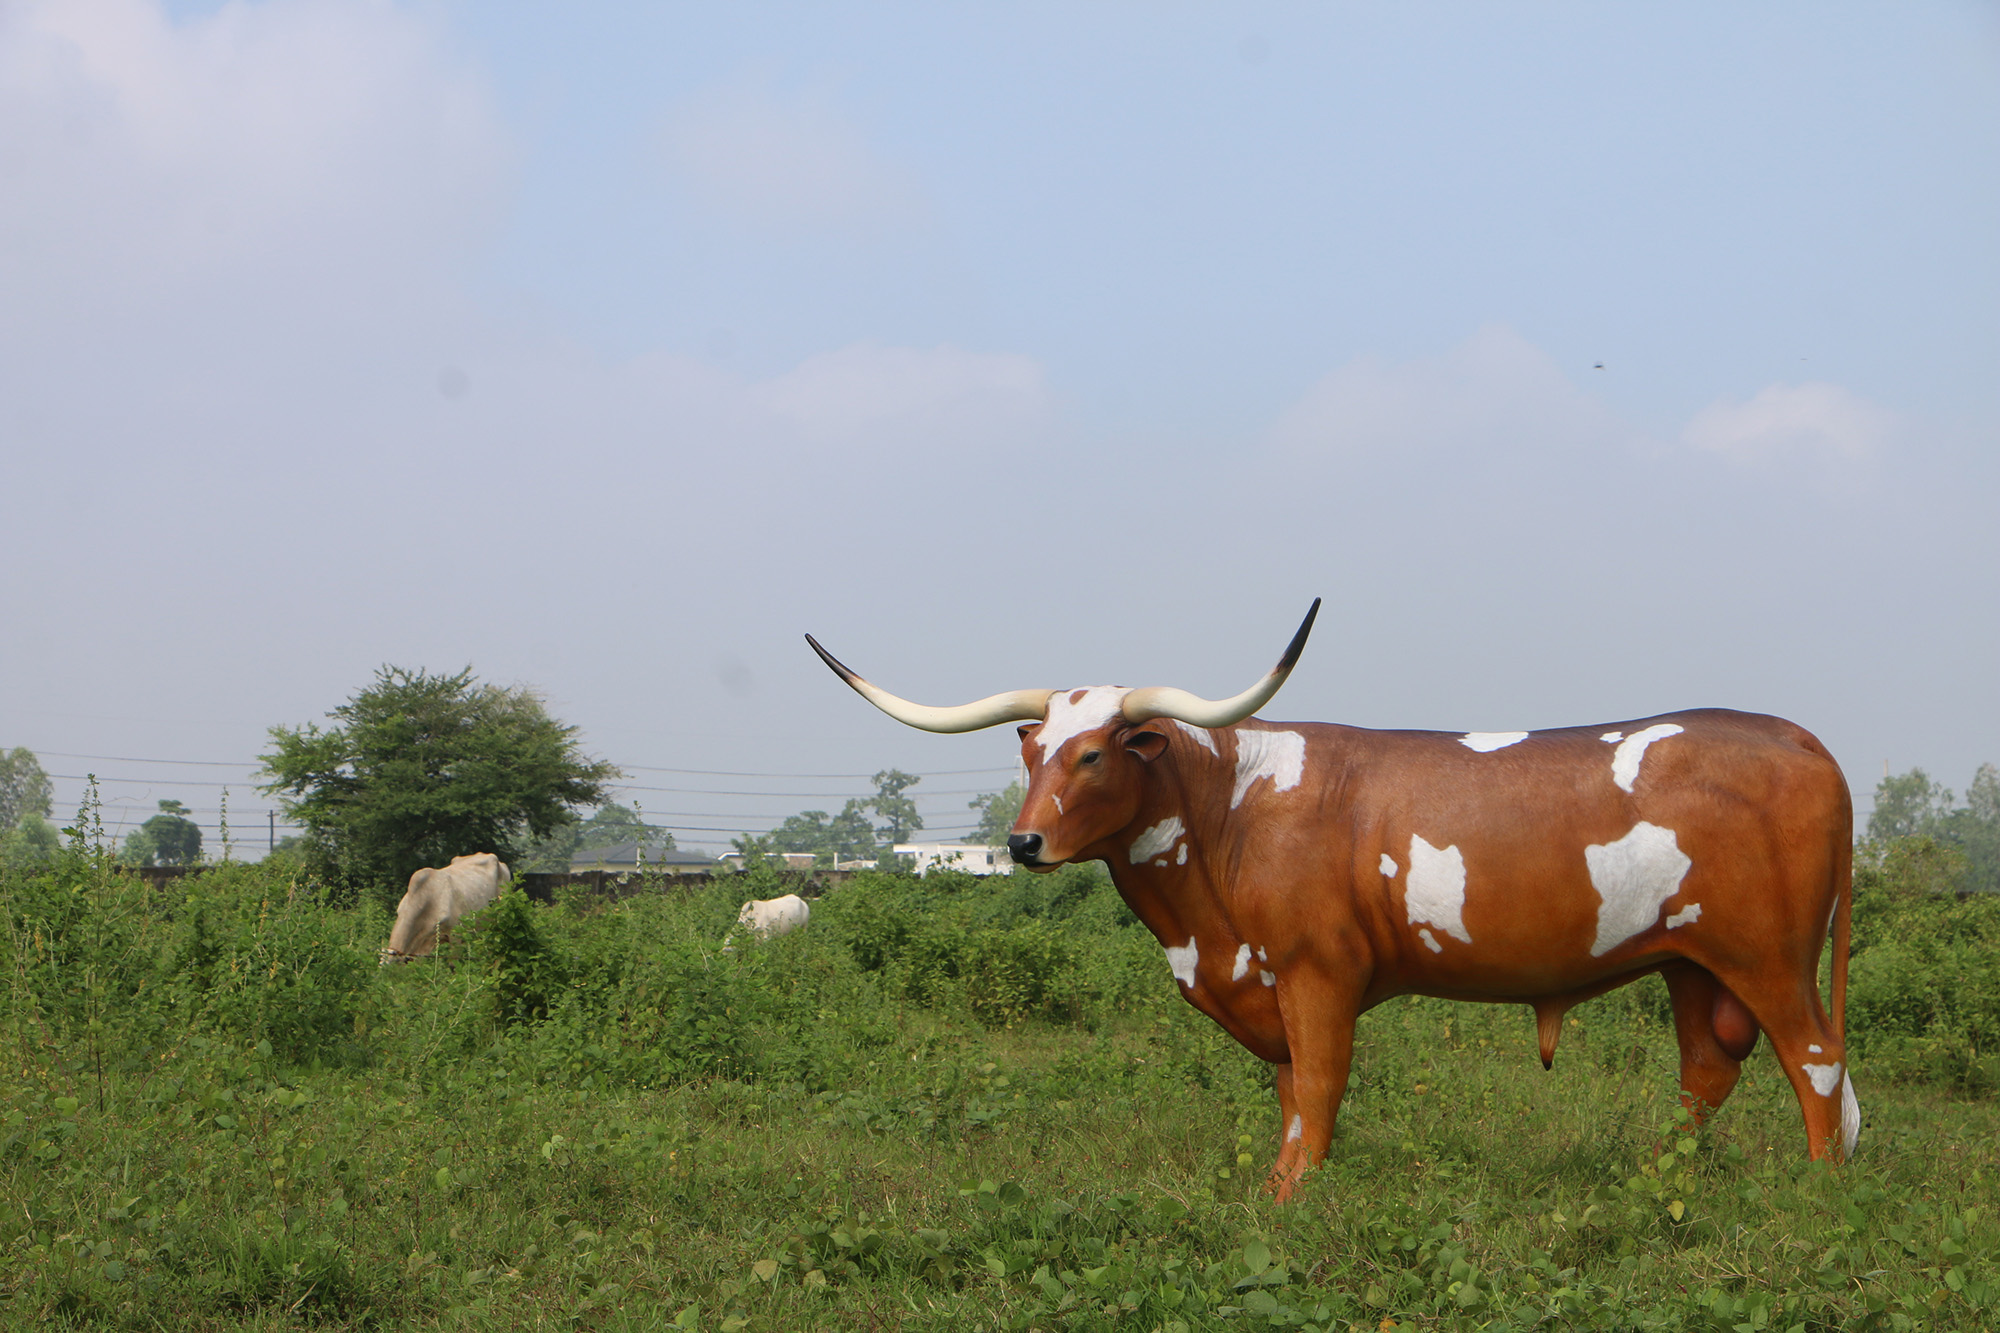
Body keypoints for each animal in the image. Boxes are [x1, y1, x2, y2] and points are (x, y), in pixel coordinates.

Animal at [808, 596, 1856, 1200]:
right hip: (1690, 960)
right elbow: (1288, 1096)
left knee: (1814, 1061)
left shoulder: (1319, 972)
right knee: (1708, 1067)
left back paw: (1817, 1193)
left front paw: (1293, 1199)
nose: (1023, 842)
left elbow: (1317, 1085)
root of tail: (1792, 735)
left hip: (1767, 955)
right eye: (1032, 751)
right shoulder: (1269, 983)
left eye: (1097, 752)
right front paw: (1279, 1190)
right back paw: (1654, 1179)